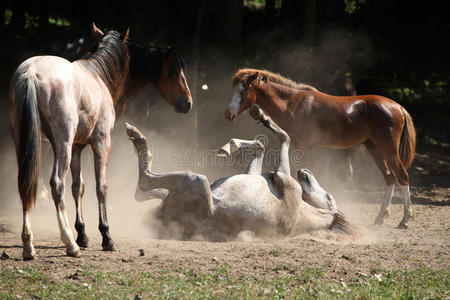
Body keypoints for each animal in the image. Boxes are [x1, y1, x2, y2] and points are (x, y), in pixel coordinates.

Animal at [8, 24, 192, 258]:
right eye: (175, 71)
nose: (188, 102)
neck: (99, 77)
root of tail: (31, 73)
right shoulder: (102, 143)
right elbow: (101, 186)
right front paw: (106, 236)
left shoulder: (77, 147)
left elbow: (78, 187)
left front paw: (83, 235)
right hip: (62, 144)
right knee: (57, 184)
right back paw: (70, 243)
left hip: (26, 143)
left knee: (26, 183)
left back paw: (29, 246)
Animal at [227, 69, 416, 230]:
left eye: (242, 92)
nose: (228, 114)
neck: (293, 104)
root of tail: (398, 107)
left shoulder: (305, 146)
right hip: (374, 149)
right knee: (389, 178)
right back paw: (380, 217)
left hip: (388, 149)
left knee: (402, 176)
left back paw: (405, 220)